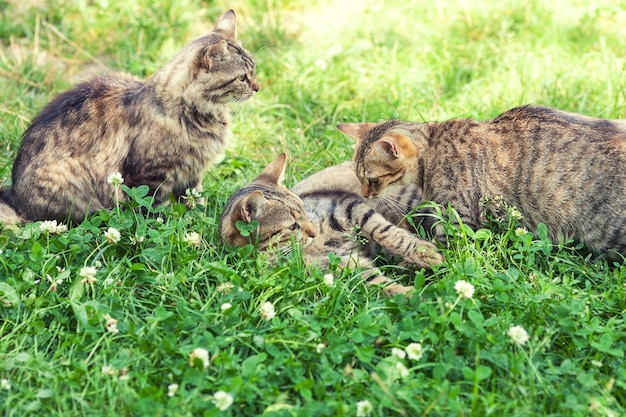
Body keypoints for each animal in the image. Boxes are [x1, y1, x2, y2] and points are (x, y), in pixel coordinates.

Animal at [0, 9, 258, 224]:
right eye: (241, 77)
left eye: (253, 70)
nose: (258, 87)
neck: (199, 115)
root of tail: (15, 197)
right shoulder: (148, 177)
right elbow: (152, 211)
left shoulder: (191, 174)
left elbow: (194, 202)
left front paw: (198, 221)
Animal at [218, 154, 438, 296]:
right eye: (292, 226)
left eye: (304, 210)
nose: (313, 232)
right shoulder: (344, 266)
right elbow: (379, 283)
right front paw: (414, 295)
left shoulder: (349, 206)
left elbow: (385, 232)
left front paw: (423, 253)